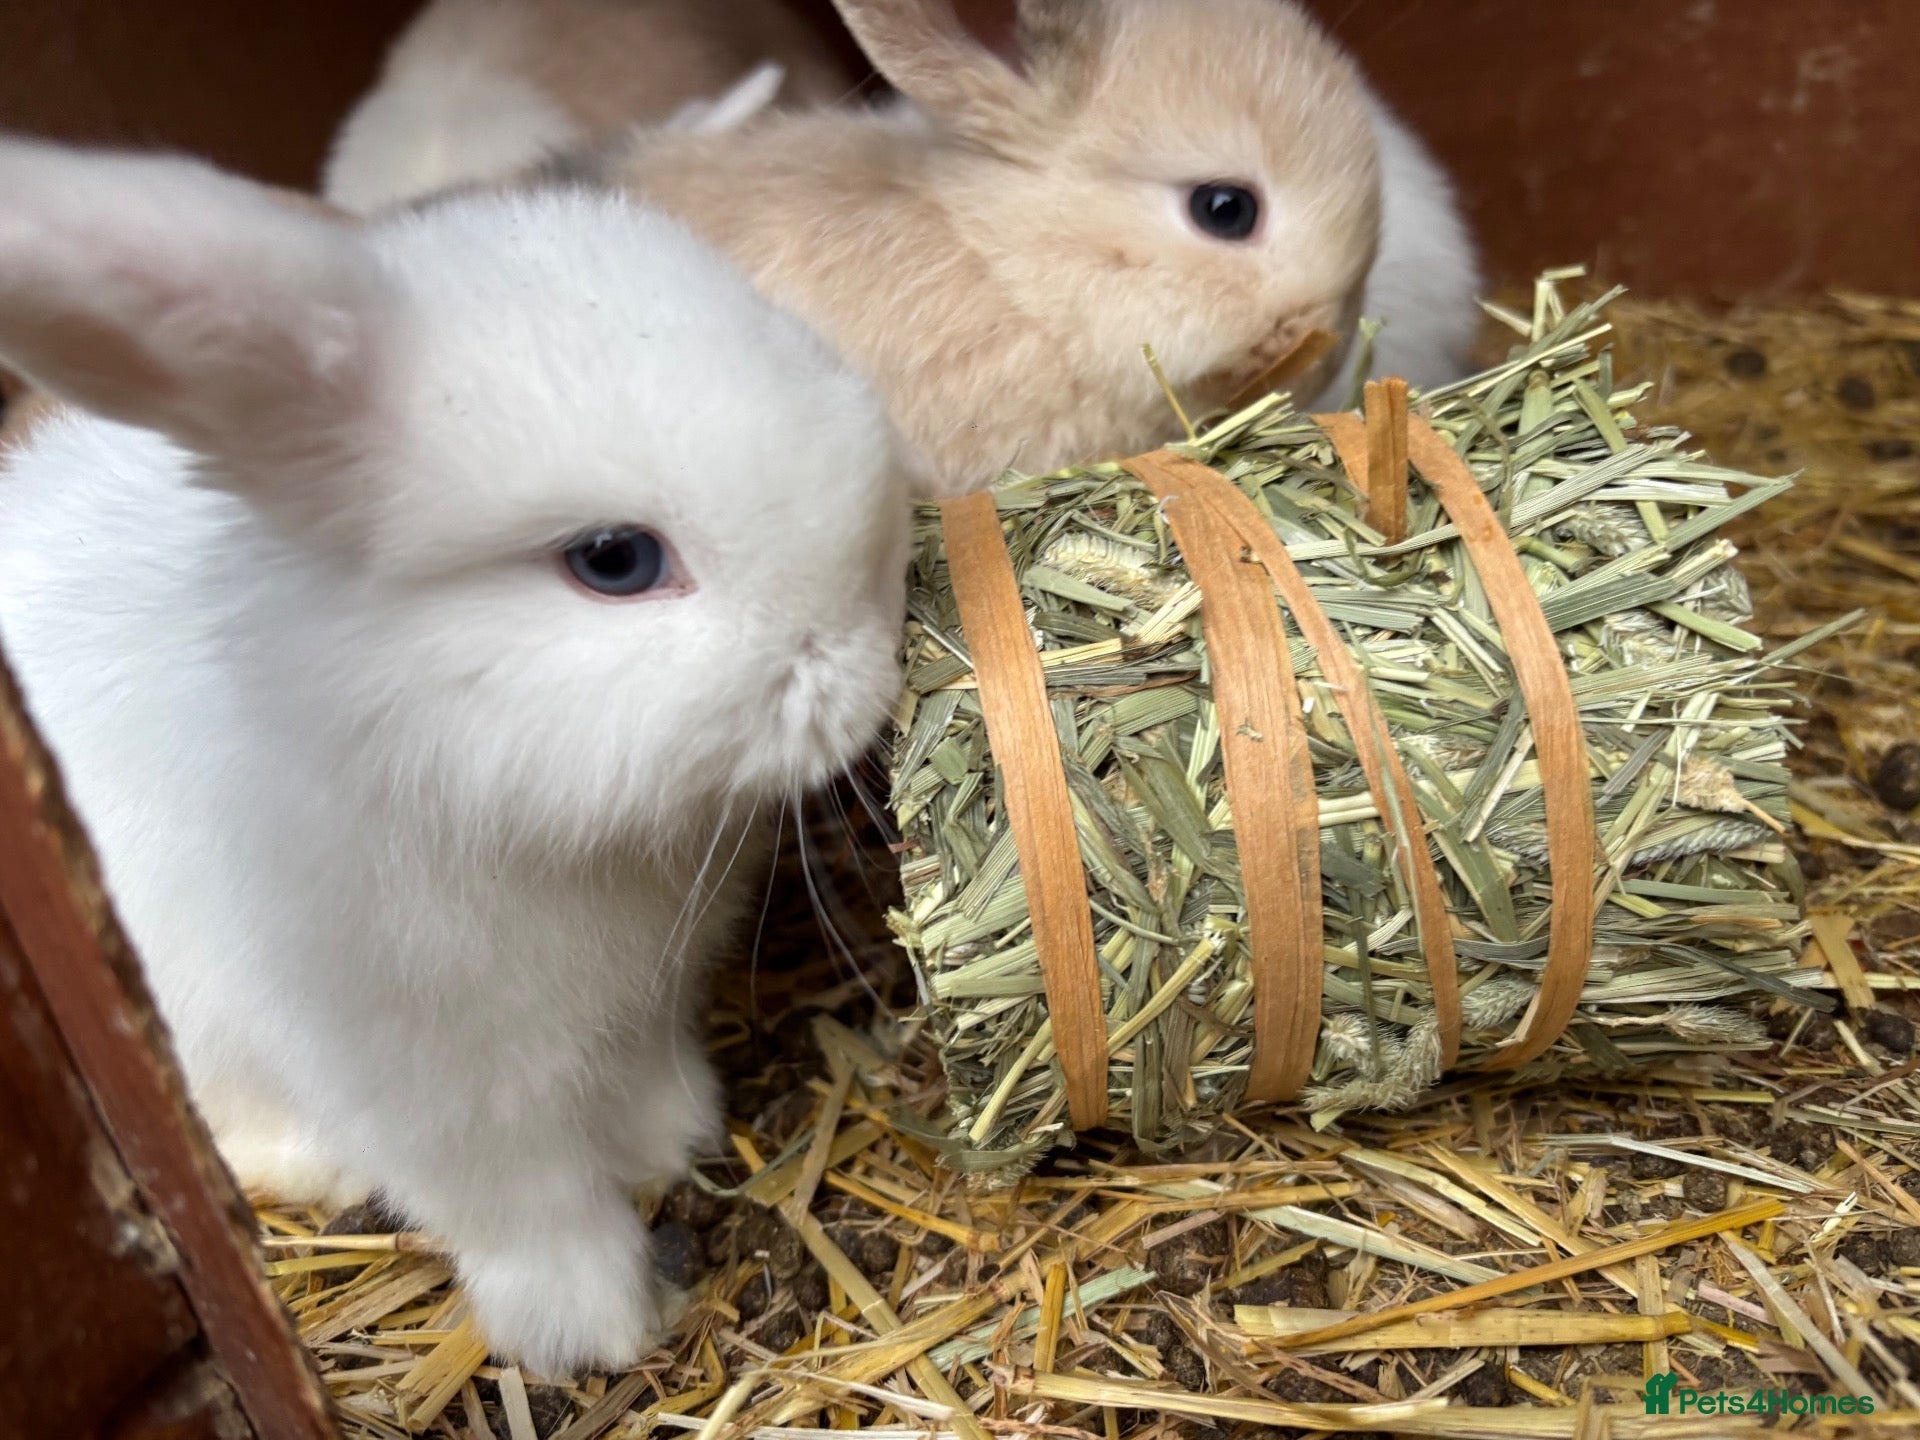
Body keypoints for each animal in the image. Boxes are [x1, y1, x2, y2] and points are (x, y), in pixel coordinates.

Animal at [0, 136, 910, 1375]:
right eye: (614, 560)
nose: (875, 646)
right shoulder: (437, 1091)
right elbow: (526, 1210)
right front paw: (595, 1329)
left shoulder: (643, 1004)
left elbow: (638, 1088)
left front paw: (674, 1139)